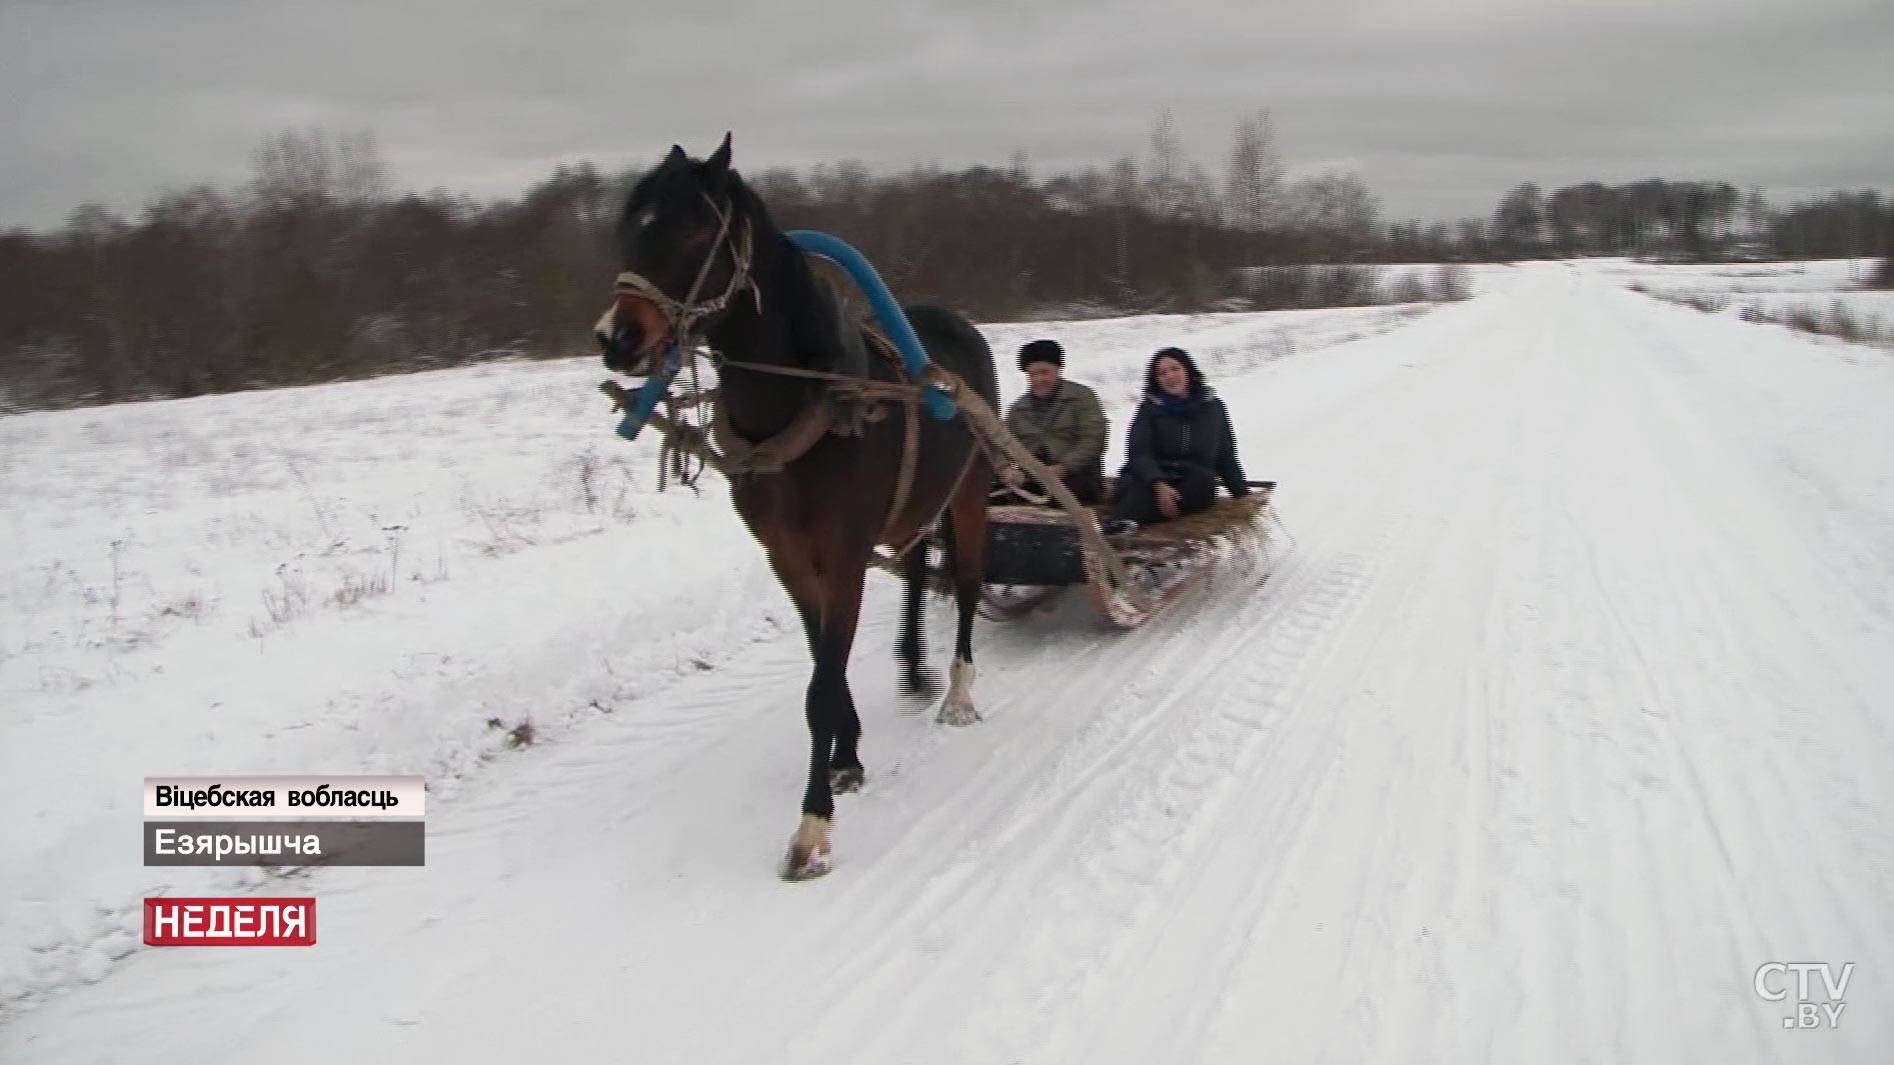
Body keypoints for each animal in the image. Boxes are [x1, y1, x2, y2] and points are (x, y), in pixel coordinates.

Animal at [590, 134, 1007, 879]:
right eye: (629, 229)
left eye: (693, 230)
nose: (618, 337)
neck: (804, 397)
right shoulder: (786, 556)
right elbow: (824, 670)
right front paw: (847, 759)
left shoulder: (841, 555)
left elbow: (821, 685)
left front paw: (812, 827)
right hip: (913, 506)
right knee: (916, 566)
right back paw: (913, 666)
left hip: (967, 491)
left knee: (963, 584)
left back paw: (957, 691)